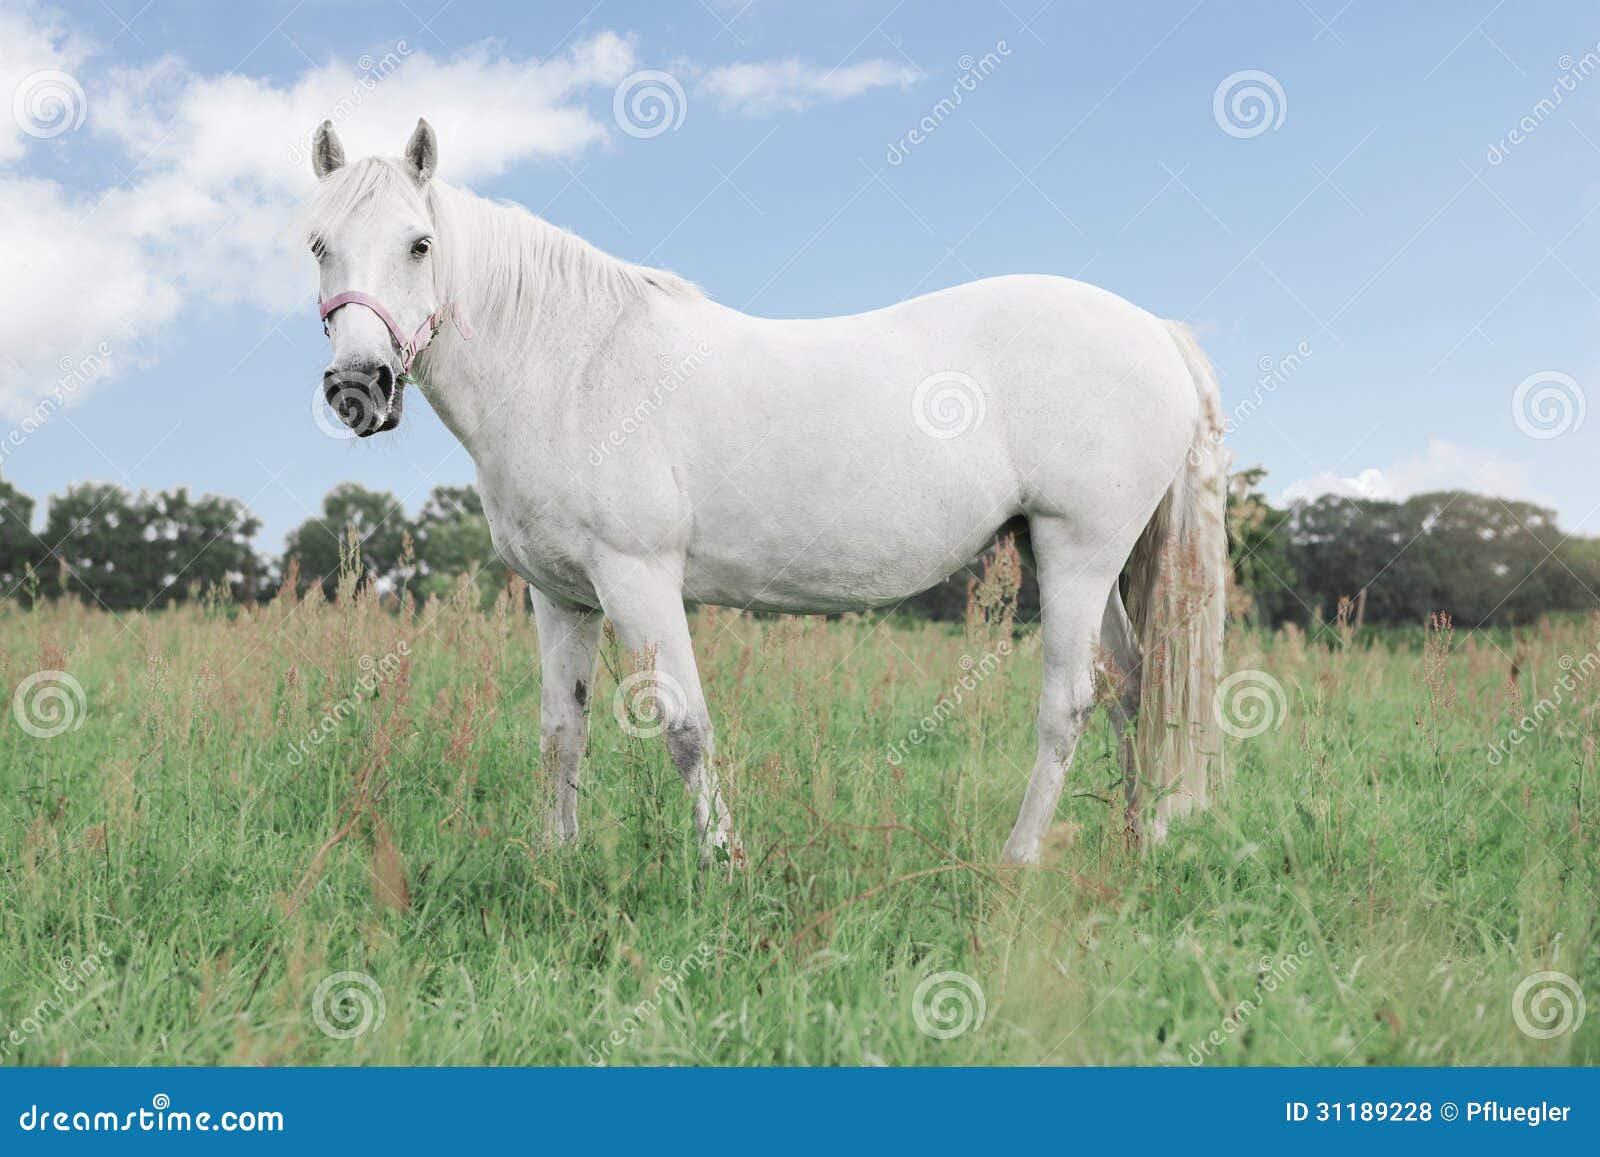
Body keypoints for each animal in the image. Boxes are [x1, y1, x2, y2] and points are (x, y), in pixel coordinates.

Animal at [302, 124, 1222, 870]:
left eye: (421, 244)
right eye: (317, 245)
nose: (358, 387)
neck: (575, 362)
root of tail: (1155, 330)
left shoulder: (639, 579)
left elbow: (684, 727)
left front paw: (724, 861)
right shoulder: (562, 598)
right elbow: (563, 732)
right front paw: (555, 864)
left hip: (1077, 551)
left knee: (1072, 704)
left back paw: (1019, 859)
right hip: (1070, 555)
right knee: (1133, 684)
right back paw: (1133, 843)